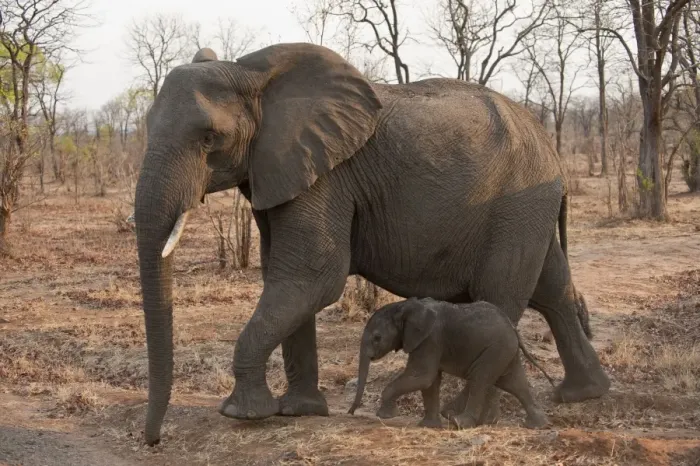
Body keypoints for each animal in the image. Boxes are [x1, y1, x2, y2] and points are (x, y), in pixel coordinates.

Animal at [347, 298, 553, 429]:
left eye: (377, 338)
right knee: (513, 382)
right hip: (505, 351)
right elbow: (429, 381)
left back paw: (459, 423)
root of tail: (513, 327)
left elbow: (422, 376)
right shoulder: (429, 343)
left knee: (480, 379)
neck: (404, 305)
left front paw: (385, 415)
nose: (351, 413)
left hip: (495, 350)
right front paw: (428, 426)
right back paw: (538, 426)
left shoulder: (430, 340)